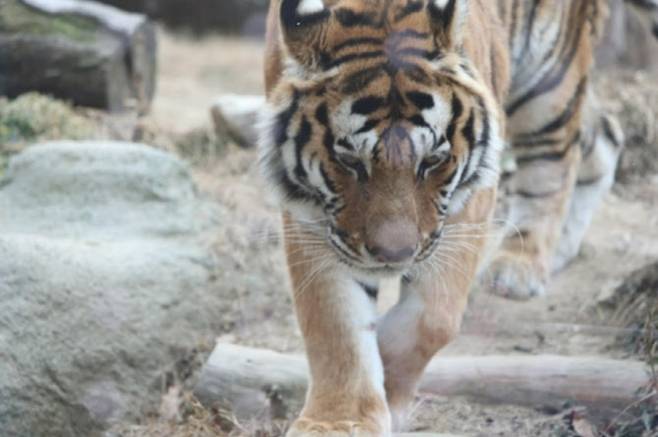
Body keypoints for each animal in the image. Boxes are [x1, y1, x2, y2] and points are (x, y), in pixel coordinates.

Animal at [256, 0, 624, 432]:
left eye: (432, 160)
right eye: (349, 161)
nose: (394, 256)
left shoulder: (469, 199)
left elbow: (433, 317)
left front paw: (390, 388)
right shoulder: (314, 214)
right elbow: (335, 324)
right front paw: (338, 422)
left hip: (548, 81)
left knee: (557, 160)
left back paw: (520, 266)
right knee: (604, 136)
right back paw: (561, 247)